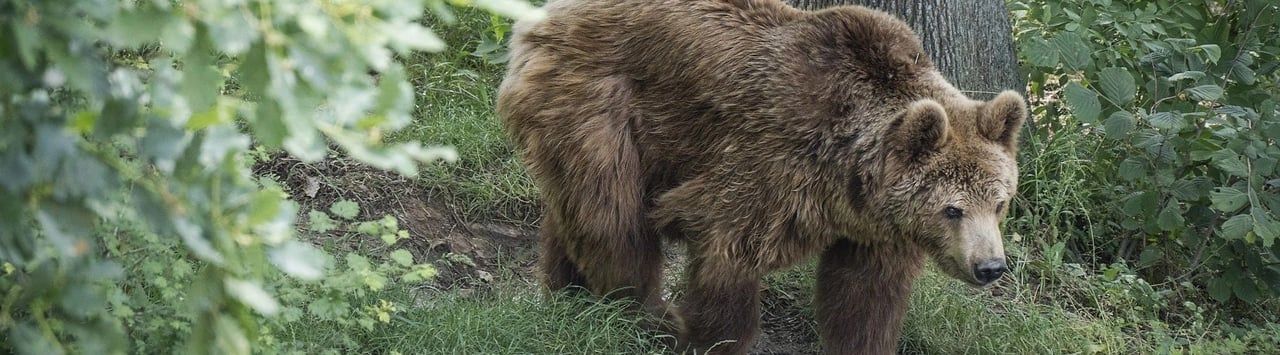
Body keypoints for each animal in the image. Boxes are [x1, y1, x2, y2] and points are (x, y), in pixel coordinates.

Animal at [494, 1, 1024, 351]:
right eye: (952, 209)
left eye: (999, 203)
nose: (990, 267)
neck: (850, 174)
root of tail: (549, 16)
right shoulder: (770, 164)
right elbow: (728, 255)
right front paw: (709, 336)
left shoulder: (875, 230)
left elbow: (864, 298)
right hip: (598, 107)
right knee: (614, 223)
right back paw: (646, 316)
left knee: (575, 215)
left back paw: (566, 292)